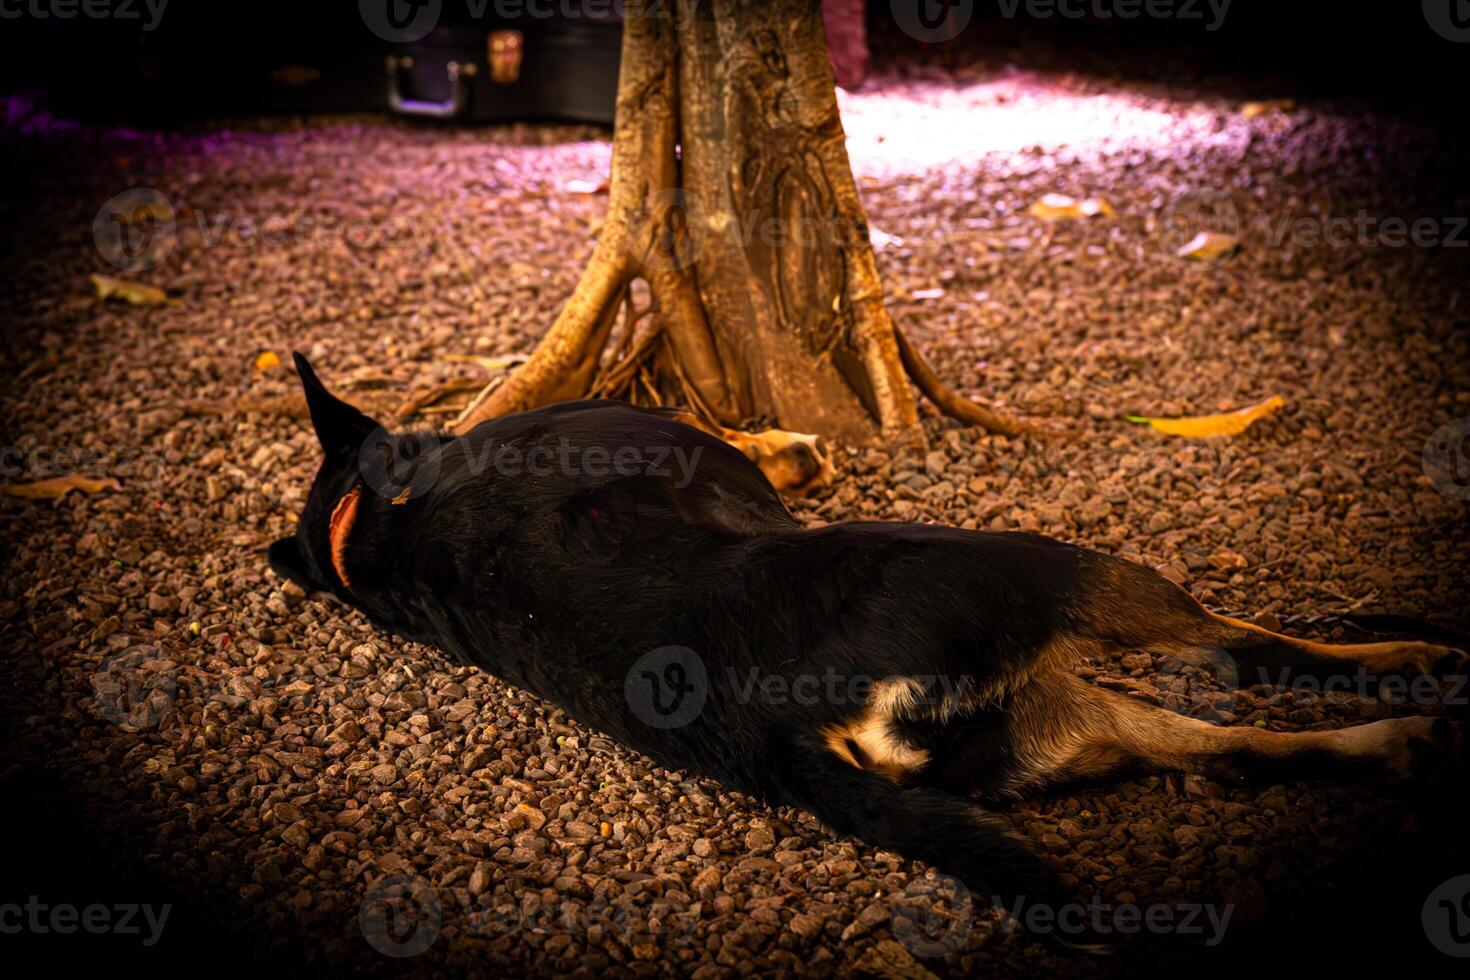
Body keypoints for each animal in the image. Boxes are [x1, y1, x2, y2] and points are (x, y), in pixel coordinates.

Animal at [270, 354, 1464, 952]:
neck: (376, 527)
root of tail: (785, 730)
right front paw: (787, 444)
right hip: (1053, 573)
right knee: (1245, 648)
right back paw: (1406, 655)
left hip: (1060, 719)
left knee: (1239, 749)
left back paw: (1392, 738)